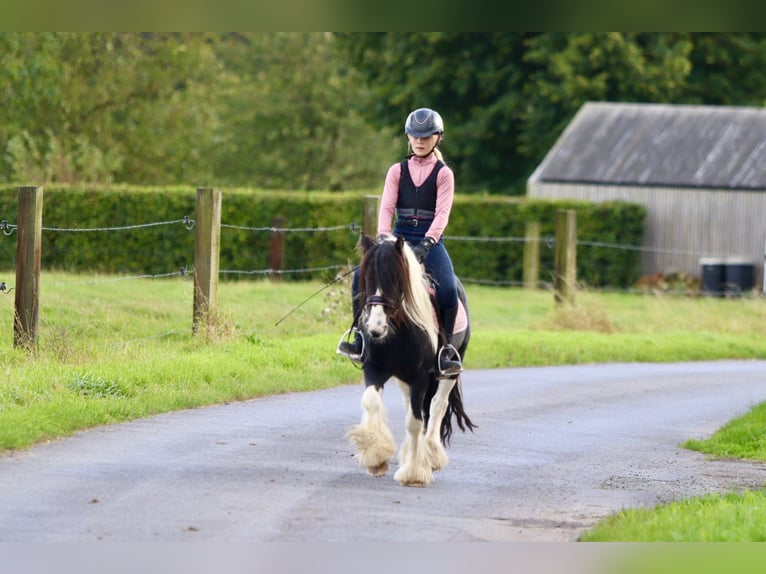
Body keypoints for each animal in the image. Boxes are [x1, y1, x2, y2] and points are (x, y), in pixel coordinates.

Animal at [346, 236, 474, 488]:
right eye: (366, 279)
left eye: (395, 280)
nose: (375, 329)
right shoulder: (374, 368)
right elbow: (371, 402)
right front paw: (376, 457)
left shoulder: (420, 376)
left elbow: (415, 422)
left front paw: (413, 473)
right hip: (404, 379)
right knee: (413, 407)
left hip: (451, 370)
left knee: (436, 406)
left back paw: (431, 456)